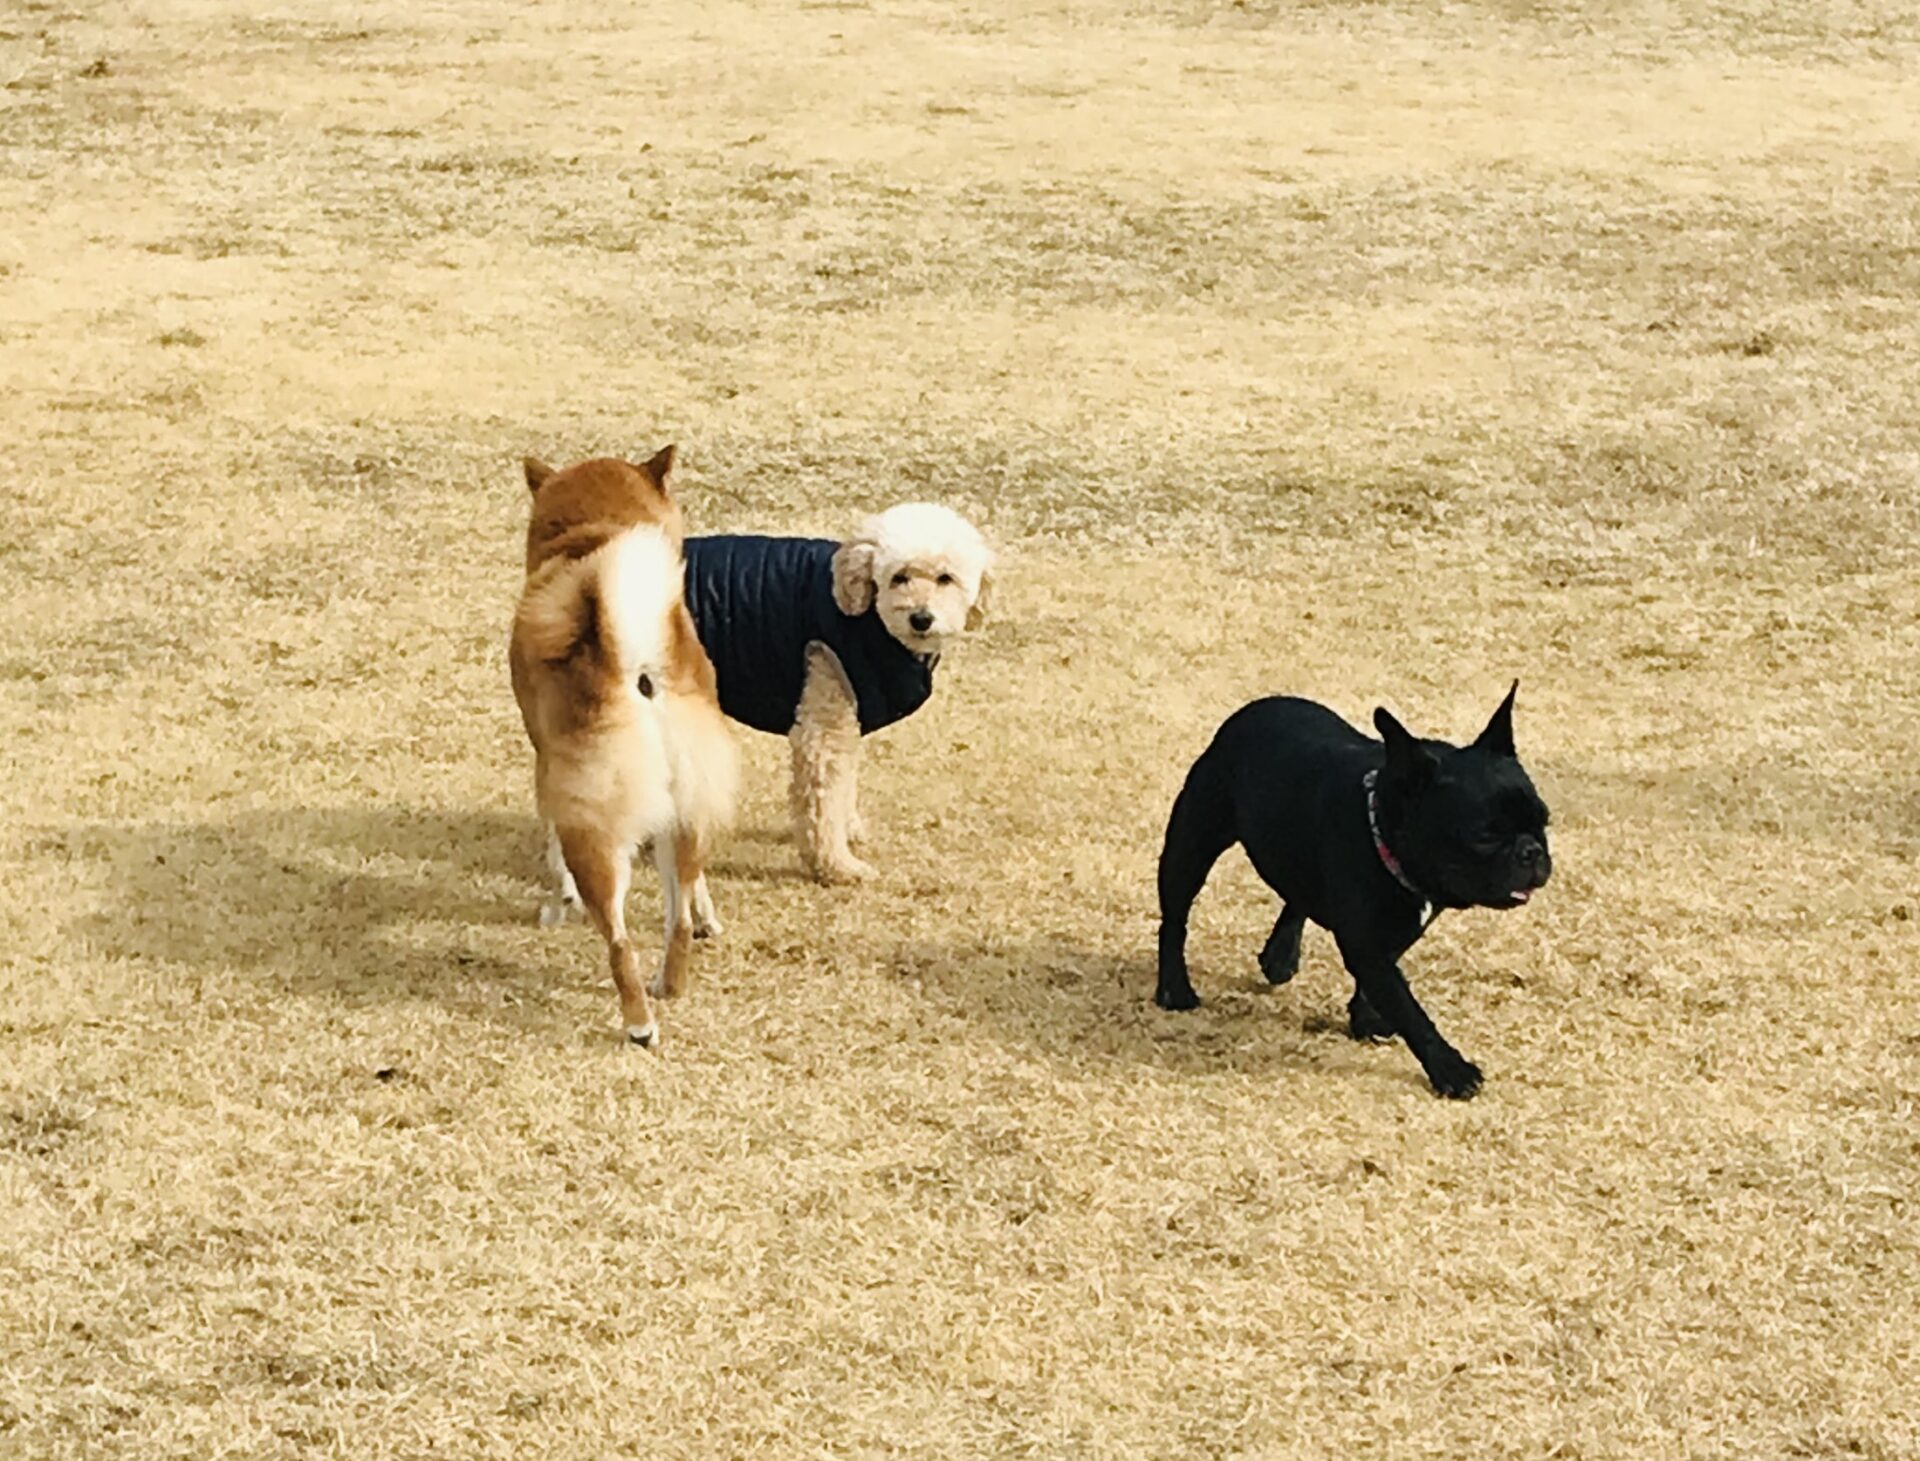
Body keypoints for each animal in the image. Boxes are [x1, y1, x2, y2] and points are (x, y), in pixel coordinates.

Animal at [509, 448, 738, 1047]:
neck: (596, 529)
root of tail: (637, 665)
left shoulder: (549, 764)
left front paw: (557, 901)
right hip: (688, 807)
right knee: (678, 918)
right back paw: (669, 984)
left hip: (596, 830)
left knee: (618, 943)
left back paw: (639, 1023)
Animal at [681, 503, 993, 884]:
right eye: (898, 577)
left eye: (945, 578)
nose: (921, 618)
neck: (868, 619)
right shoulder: (824, 719)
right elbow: (824, 799)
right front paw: (837, 865)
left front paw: (850, 831)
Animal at [1154, 683, 1550, 1099]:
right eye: (1485, 836)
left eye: (1544, 821)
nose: (1532, 851)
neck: (1382, 829)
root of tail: (1253, 709)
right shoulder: (1367, 945)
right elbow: (1409, 1008)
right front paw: (1450, 1069)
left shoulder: (1393, 934)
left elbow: (1381, 985)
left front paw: (1366, 1019)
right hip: (1192, 843)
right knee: (1175, 919)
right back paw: (1174, 989)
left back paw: (1280, 954)